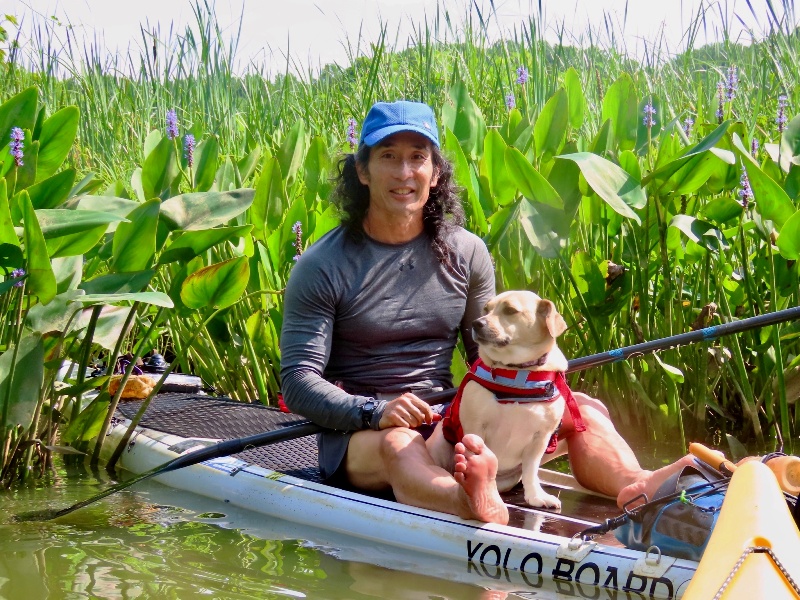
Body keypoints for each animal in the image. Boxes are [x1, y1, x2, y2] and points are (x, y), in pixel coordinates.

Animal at [440, 290, 584, 510]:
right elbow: (473, 454)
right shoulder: (475, 427)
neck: (518, 372)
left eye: (510, 310)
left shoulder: (541, 437)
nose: (476, 323)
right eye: (486, 309)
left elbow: (531, 471)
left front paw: (536, 496)